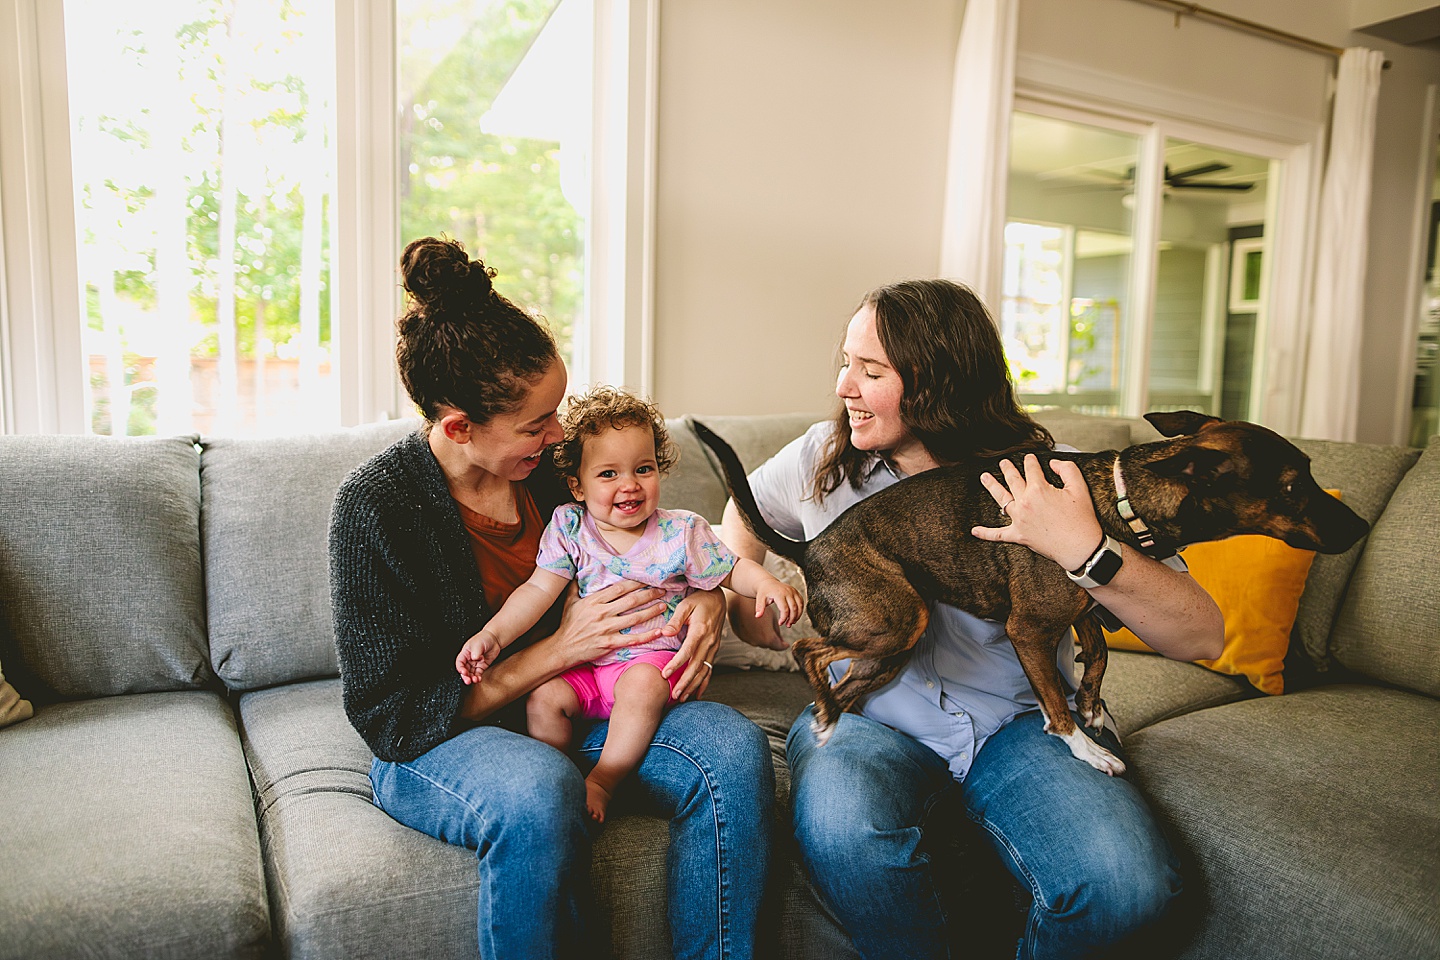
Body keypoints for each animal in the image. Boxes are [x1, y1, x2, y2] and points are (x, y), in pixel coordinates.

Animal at [696, 411, 1370, 771]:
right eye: (1292, 486)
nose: (1362, 526)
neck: (1119, 498)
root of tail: (810, 547)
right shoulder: (1029, 631)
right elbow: (1054, 701)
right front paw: (1087, 747)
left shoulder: (1084, 602)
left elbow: (1097, 648)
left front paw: (1094, 703)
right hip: (897, 618)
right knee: (809, 650)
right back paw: (827, 712)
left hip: (893, 643)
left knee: (842, 680)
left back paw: (832, 716)